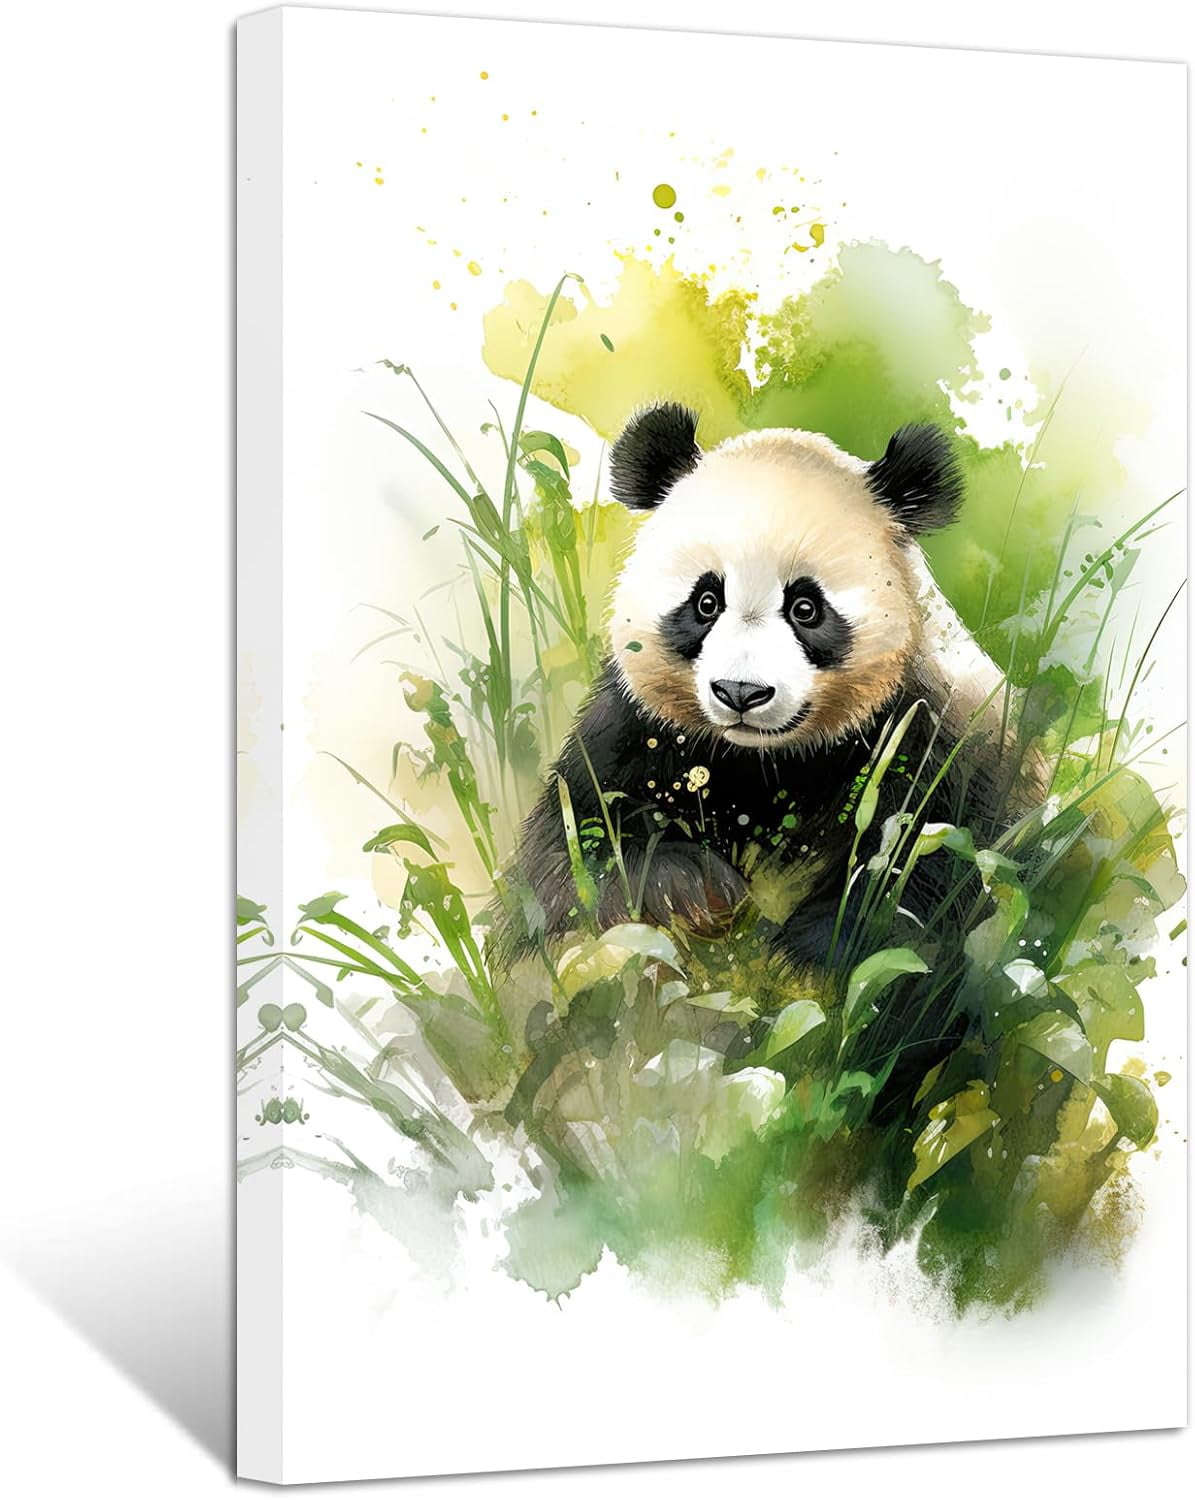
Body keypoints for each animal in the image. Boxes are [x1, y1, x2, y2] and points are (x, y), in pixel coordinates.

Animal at [494, 402, 1032, 973]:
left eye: (806, 608)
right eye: (707, 601)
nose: (740, 693)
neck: (765, 761)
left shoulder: (937, 732)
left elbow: (934, 861)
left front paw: (818, 945)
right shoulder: (635, 725)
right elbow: (569, 849)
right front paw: (690, 888)